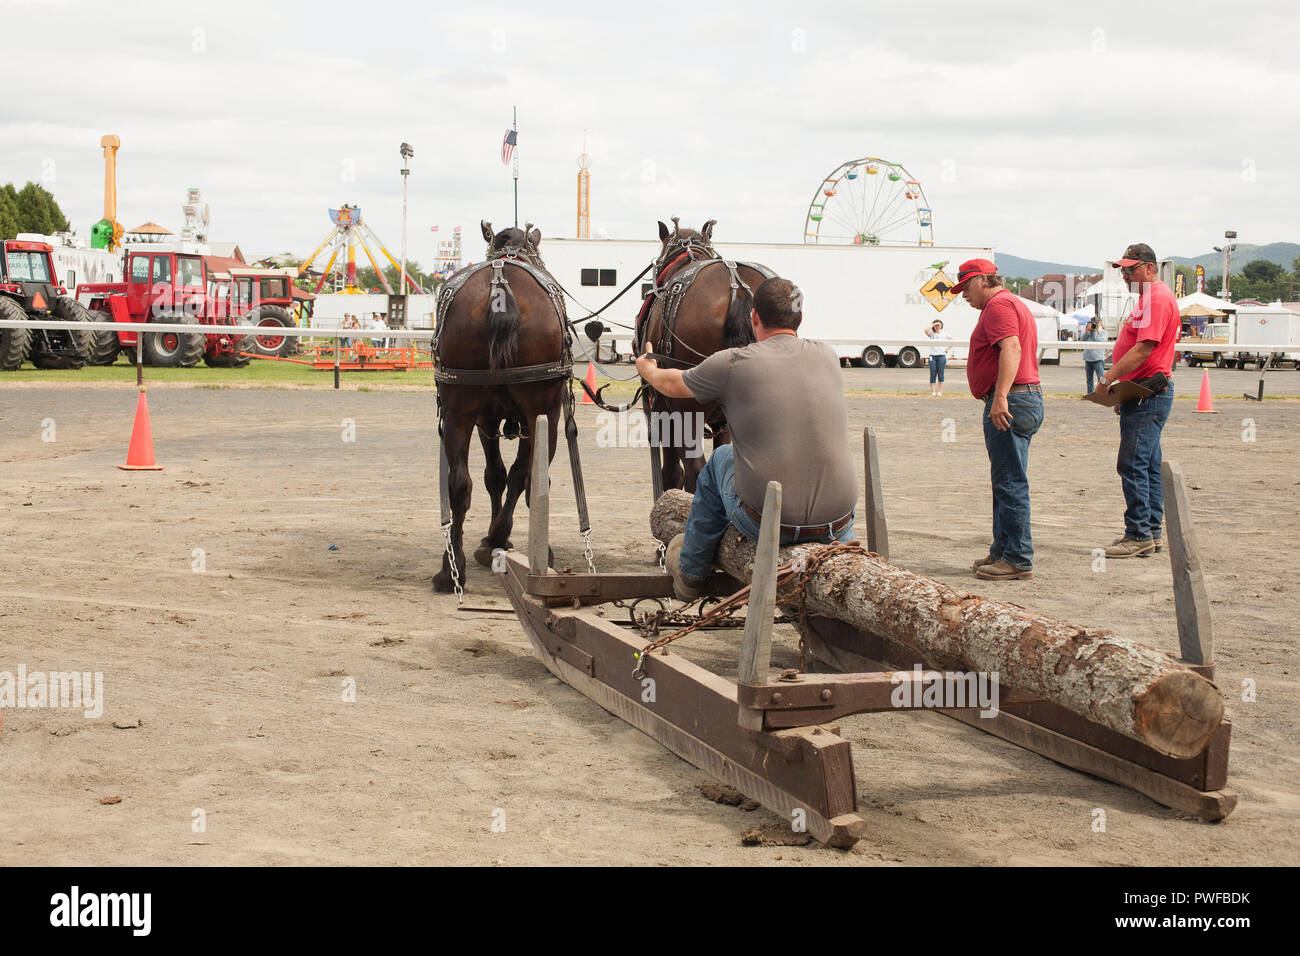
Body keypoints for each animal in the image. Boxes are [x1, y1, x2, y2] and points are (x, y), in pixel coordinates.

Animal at [431, 226, 569, 598]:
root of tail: (500, 287)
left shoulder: (484, 420)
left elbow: (496, 476)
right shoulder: (499, 420)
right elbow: (507, 477)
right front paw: (498, 539)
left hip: (460, 411)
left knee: (460, 484)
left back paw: (452, 569)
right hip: (542, 412)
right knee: (522, 477)